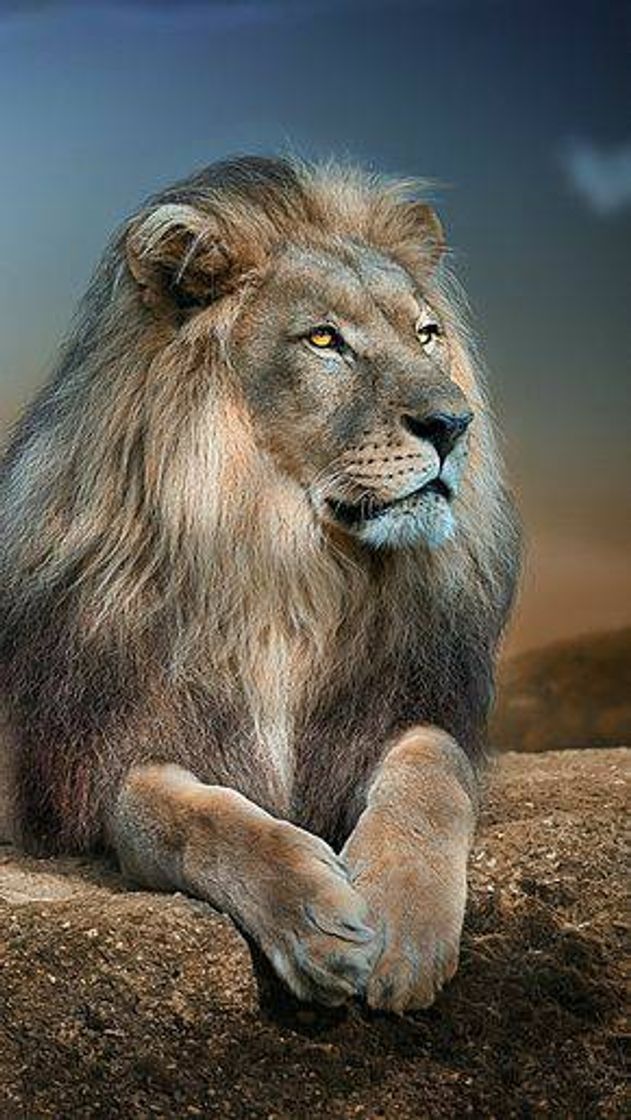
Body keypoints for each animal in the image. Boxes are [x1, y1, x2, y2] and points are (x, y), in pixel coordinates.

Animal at [0, 155, 520, 1013]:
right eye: (324, 340)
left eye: (425, 333)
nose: (453, 425)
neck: (284, 567)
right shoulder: (101, 753)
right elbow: (183, 815)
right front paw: (315, 919)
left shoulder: (404, 705)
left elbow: (432, 771)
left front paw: (403, 924)